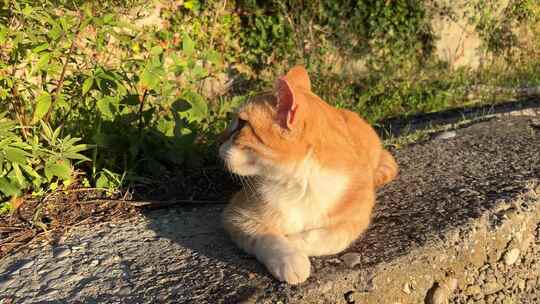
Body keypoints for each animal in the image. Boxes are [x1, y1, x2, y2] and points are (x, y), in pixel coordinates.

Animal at [217, 65, 398, 284]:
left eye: (242, 124)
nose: (217, 141)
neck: (301, 182)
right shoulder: (237, 215)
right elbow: (267, 236)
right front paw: (290, 258)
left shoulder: (358, 216)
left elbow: (334, 238)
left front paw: (293, 241)